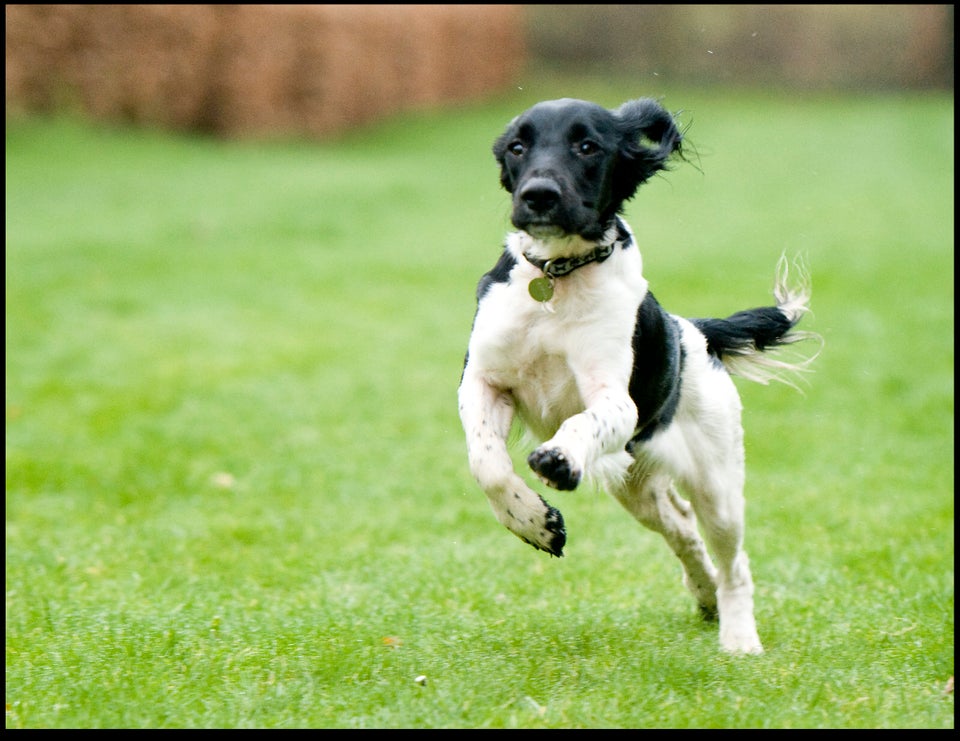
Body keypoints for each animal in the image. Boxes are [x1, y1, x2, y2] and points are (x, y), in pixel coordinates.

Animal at [458, 94, 816, 652]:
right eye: (517, 146)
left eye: (587, 146)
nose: (538, 195)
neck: (556, 279)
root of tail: (695, 333)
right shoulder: (484, 379)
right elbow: (487, 464)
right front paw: (536, 523)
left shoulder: (615, 400)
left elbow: (580, 422)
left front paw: (559, 459)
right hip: (637, 487)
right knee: (682, 526)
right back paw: (705, 596)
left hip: (717, 483)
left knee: (733, 560)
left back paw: (739, 639)